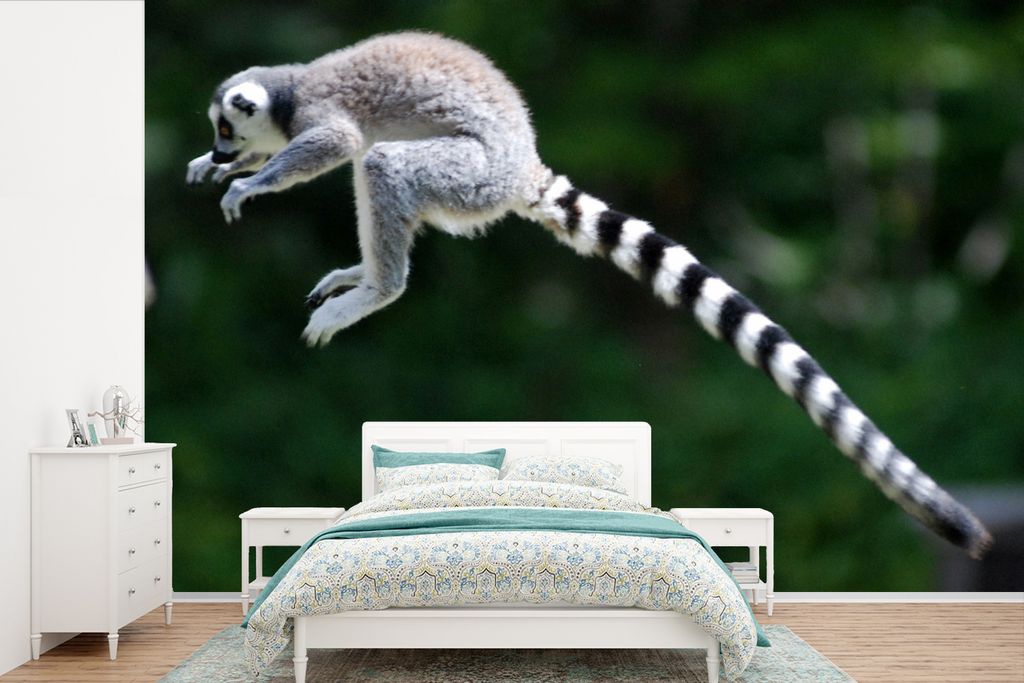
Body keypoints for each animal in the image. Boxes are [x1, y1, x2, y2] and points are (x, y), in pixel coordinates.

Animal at [186, 31, 992, 558]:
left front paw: (249, 183)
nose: (223, 150)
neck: (291, 88)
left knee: (380, 162)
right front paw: (213, 171)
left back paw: (377, 287)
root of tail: (524, 167)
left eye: (228, 122)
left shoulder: (320, 112)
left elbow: (334, 145)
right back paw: (357, 277)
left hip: (469, 175)